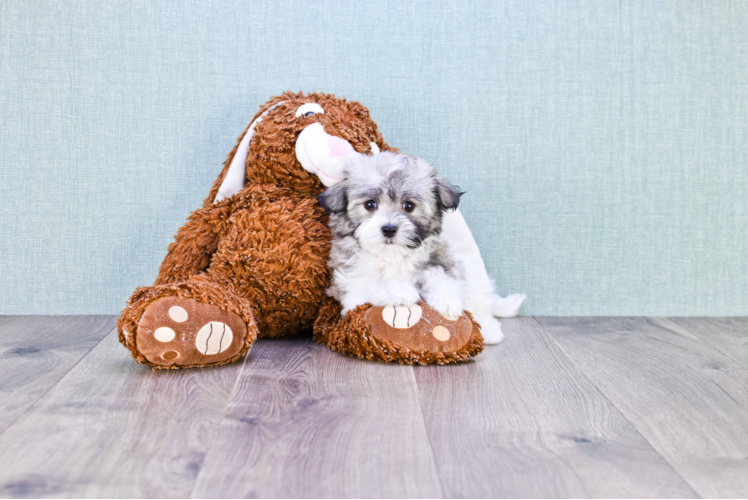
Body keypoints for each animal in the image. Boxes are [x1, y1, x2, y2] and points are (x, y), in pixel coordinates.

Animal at [318, 151, 470, 320]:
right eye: (370, 204)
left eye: (409, 206)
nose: (389, 229)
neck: (391, 256)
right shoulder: (351, 289)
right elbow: (369, 287)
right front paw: (398, 290)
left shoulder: (439, 260)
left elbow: (443, 277)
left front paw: (447, 300)